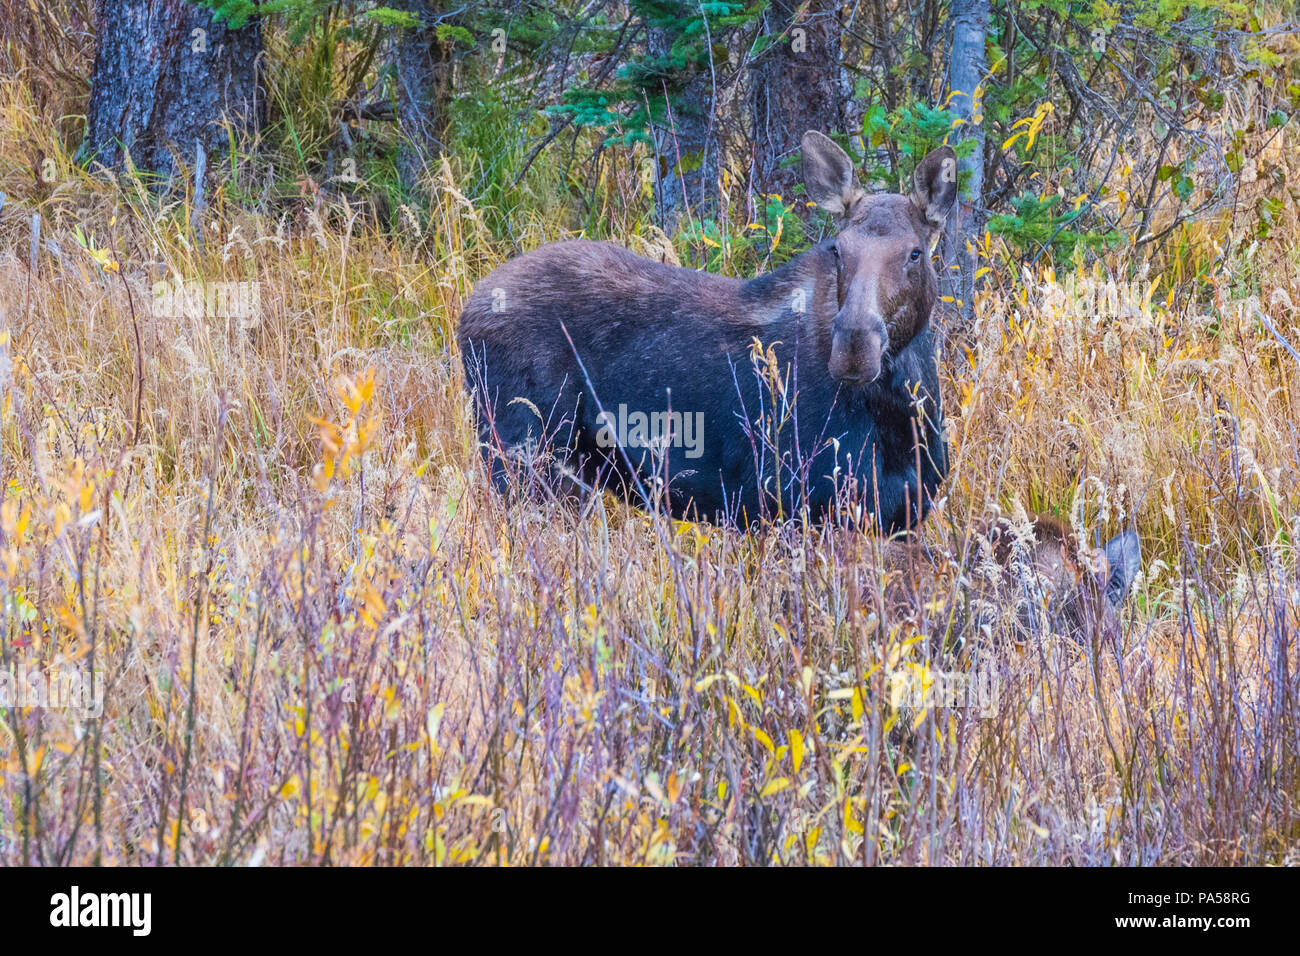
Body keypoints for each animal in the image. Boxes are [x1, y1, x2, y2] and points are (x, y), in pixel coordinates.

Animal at [457, 130, 956, 530]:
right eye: (838, 249)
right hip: (523, 456)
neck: (900, 407)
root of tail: (467, 312)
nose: (854, 346)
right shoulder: (794, 505)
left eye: (915, 252)